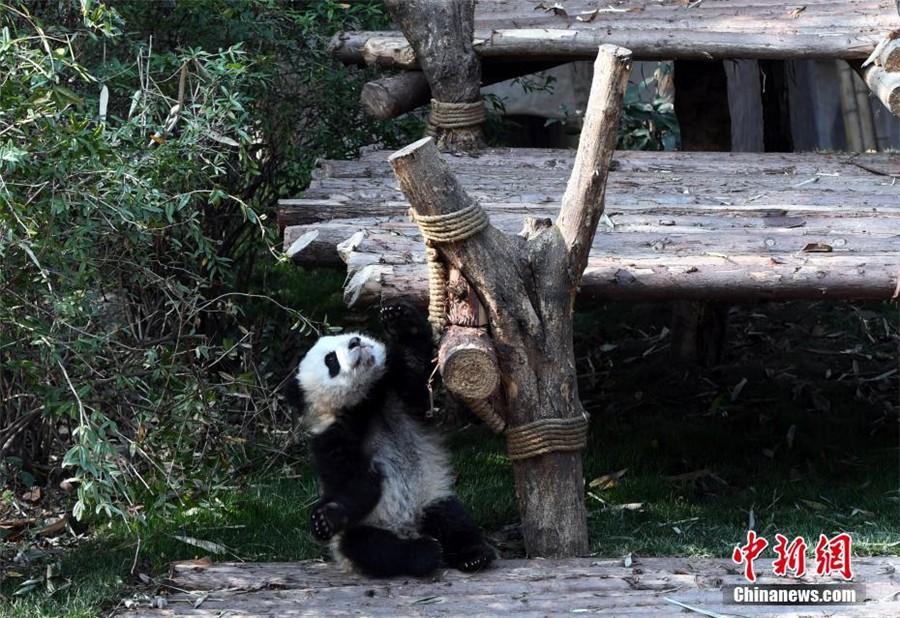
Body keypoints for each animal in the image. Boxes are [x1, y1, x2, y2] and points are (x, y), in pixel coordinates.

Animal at [284, 301, 495, 578]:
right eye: (330, 360)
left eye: (351, 336)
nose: (355, 342)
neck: (365, 404)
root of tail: (408, 529)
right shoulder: (332, 437)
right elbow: (355, 483)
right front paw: (326, 518)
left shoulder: (397, 397)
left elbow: (415, 374)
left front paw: (399, 319)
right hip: (363, 532)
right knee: (373, 549)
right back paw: (424, 554)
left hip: (430, 496)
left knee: (454, 520)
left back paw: (473, 556)